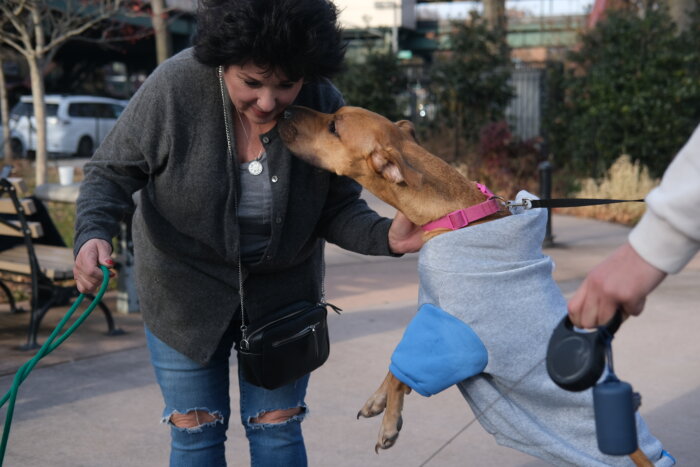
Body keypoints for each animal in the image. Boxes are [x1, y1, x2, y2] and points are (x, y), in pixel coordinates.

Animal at [278, 107, 656, 467]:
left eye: (334, 127)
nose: (284, 112)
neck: (456, 215)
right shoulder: (432, 314)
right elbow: (395, 365)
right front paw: (378, 401)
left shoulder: (448, 330)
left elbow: (402, 368)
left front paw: (389, 422)